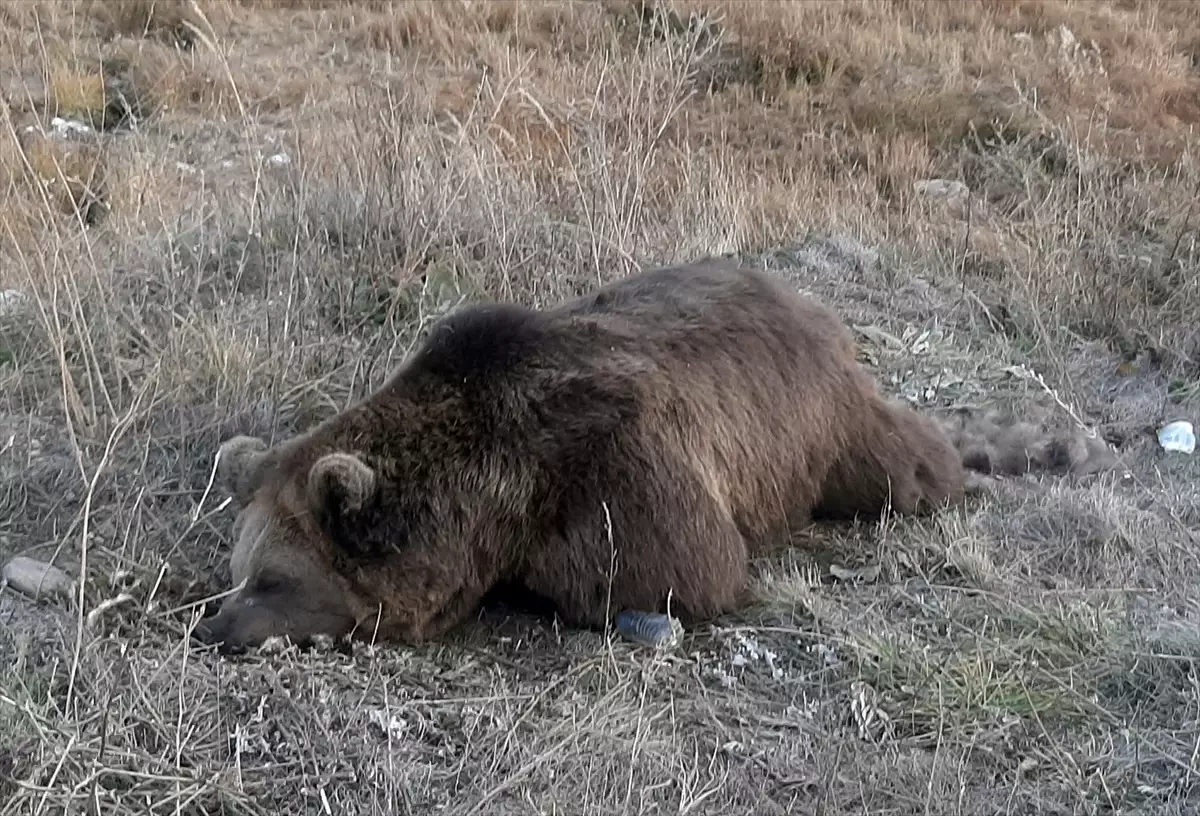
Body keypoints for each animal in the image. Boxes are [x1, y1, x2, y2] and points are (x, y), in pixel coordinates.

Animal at [194, 258, 1104, 652]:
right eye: (235, 573)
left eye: (272, 580)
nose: (215, 626)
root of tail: (812, 306)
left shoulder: (619, 475)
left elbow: (679, 570)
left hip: (826, 430)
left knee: (902, 468)